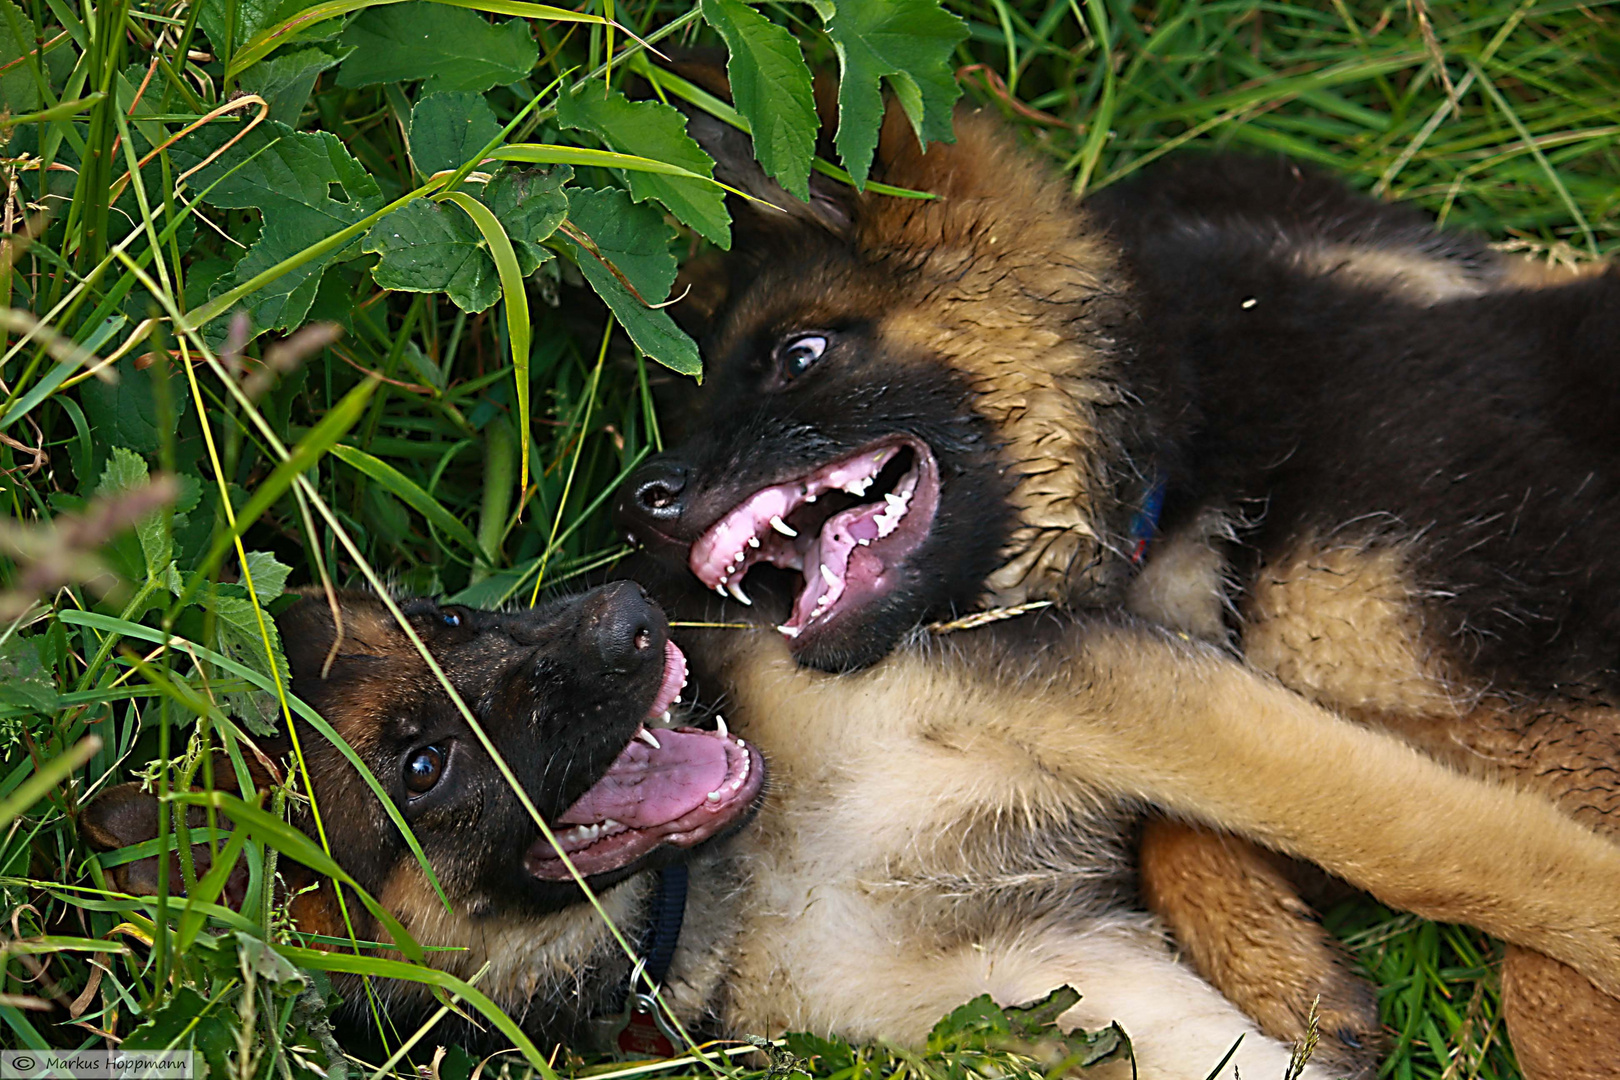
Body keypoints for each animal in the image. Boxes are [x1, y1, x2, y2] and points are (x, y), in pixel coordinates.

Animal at [78, 592, 1620, 1080]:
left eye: (452, 616)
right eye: (420, 760)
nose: (631, 618)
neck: (742, 883)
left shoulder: (1075, 683)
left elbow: (1429, 836)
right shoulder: (1063, 985)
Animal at [615, 93, 1620, 1075]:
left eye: (802, 354)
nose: (641, 503)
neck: (1183, 486)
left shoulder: (1545, 701)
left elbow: (1533, 976)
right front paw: (1282, 963)